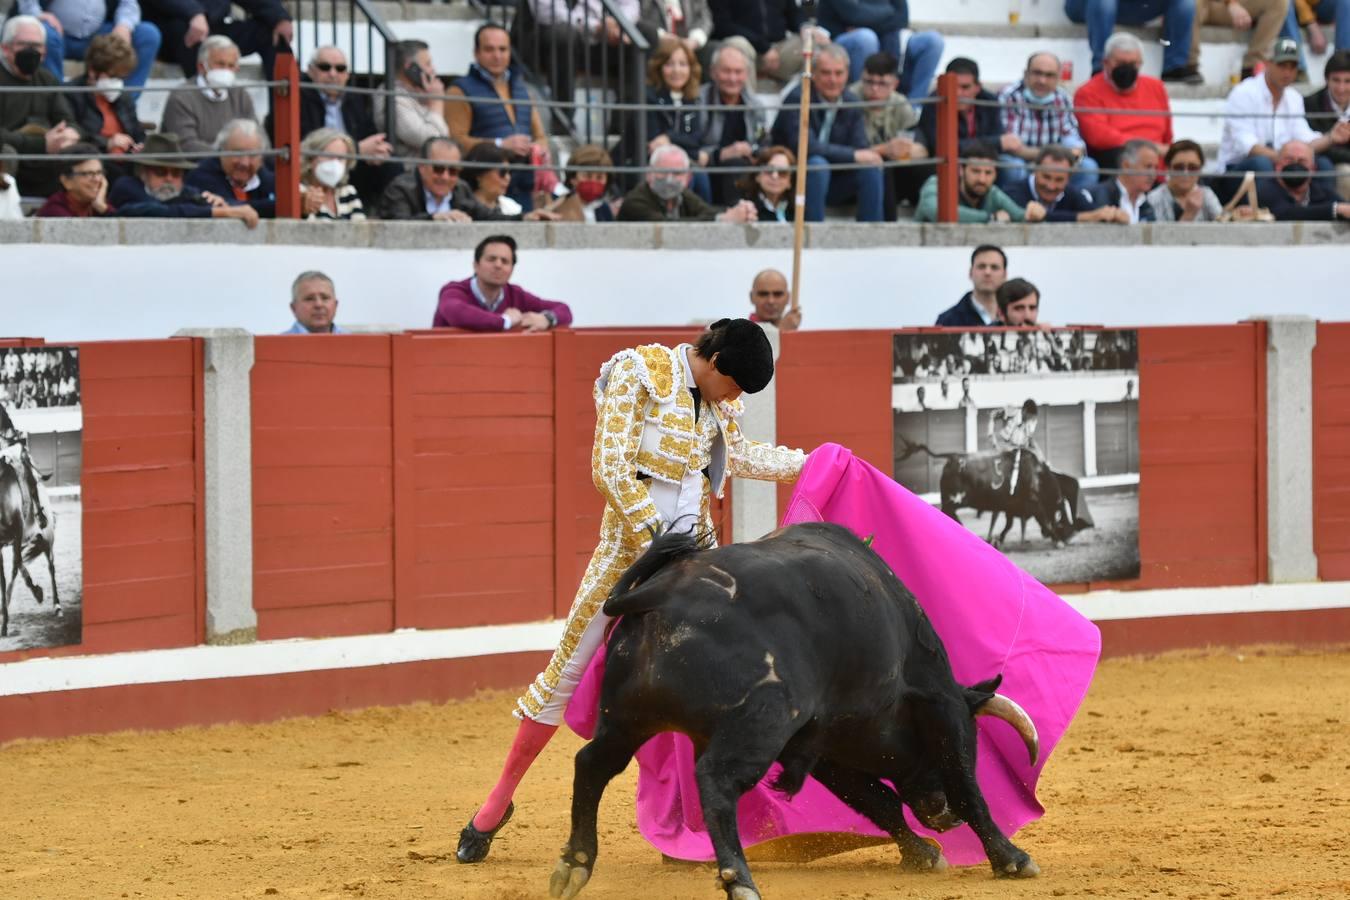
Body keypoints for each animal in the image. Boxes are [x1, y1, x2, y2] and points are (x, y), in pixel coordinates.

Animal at [548, 520, 1042, 900]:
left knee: (591, 764)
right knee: (716, 780)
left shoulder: (824, 746)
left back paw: (574, 865)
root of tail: (663, 595)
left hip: (627, 718)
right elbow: (965, 784)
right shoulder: (940, 703)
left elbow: (876, 800)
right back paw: (740, 881)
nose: (943, 816)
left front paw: (921, 854)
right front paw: (1012, 860)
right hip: (763, 720)